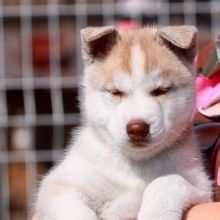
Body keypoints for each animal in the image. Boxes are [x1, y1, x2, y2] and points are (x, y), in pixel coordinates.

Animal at [35, 26, 212, 220]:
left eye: (161, 90)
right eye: (115, 92)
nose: (137, 128)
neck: (136, 164)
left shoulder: (201, 186)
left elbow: (168, 181)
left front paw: (155, 213)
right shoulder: (60, 186)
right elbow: (75, 212)